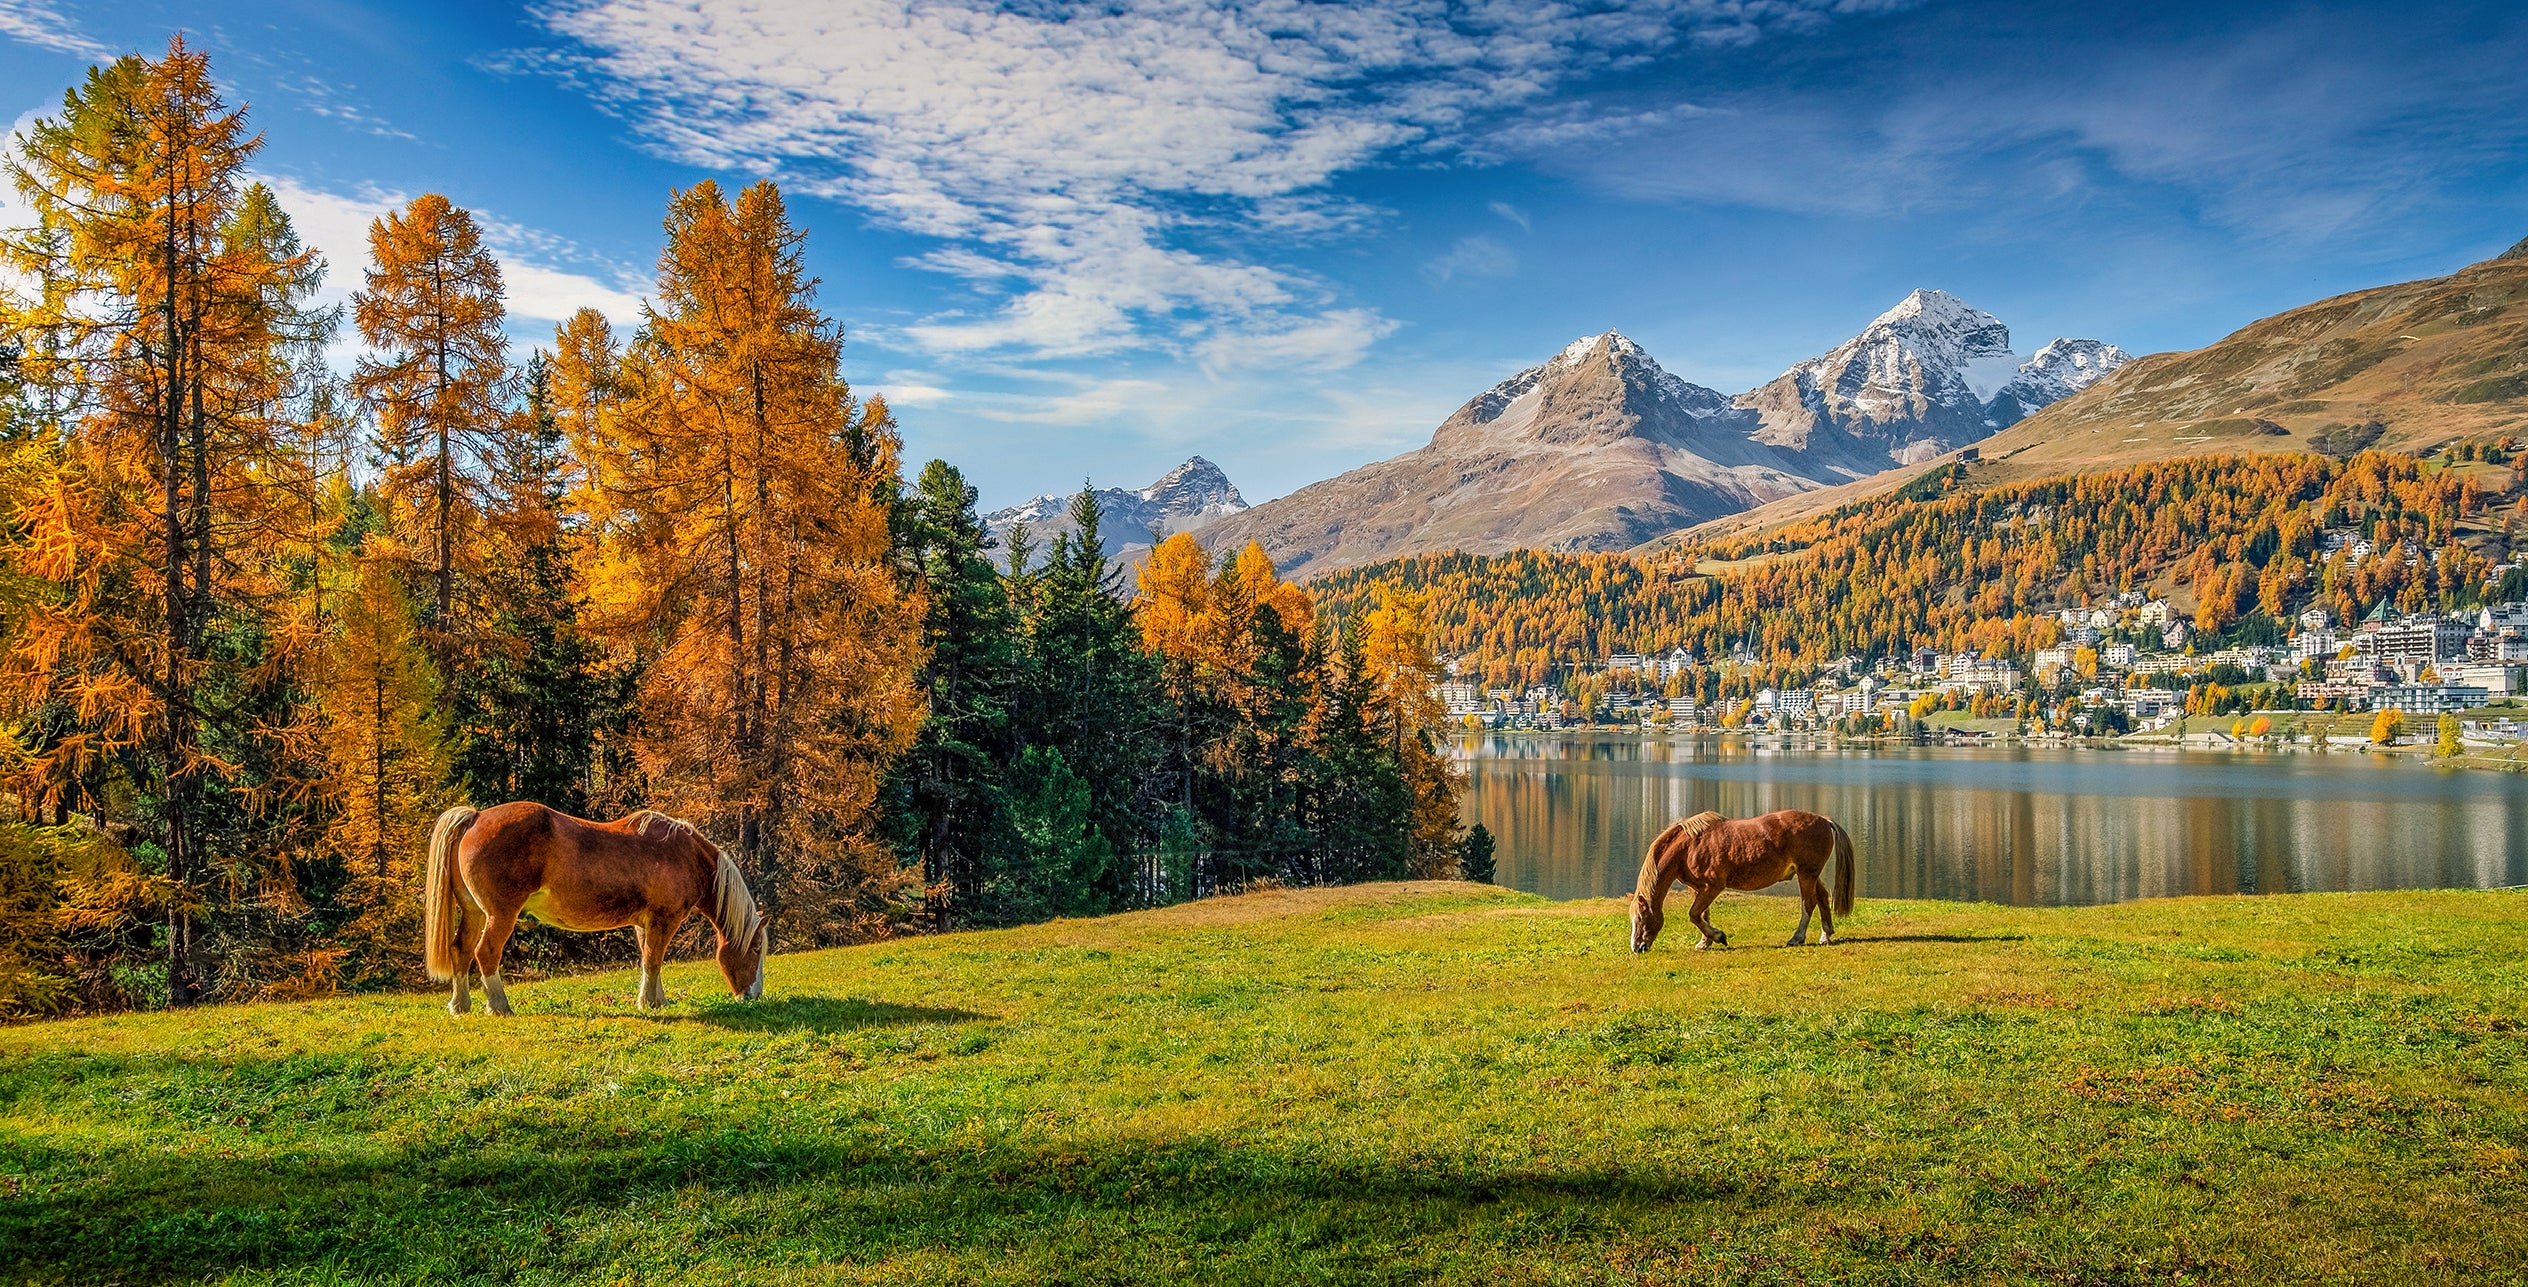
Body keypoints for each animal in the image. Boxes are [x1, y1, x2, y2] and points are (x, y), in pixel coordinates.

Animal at [424, 803, 767, 1015]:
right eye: (755, 950)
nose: (754, 996)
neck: (686, 854)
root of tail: (476, 817)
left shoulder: (644, 922)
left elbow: (649, 960)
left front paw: (657, 1000)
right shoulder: (664, 919)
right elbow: (654, 959)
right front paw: (648, 1003)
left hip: (473, 912)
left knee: (461, 949)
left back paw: (460, 1005)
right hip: (500, 915)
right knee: (486, 953)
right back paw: (499, 1006)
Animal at [1628, 810, 1855, 953]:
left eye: (1639, 918)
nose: (1637, 947)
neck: (1690, 846)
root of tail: (1824, 820)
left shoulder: (1712, 887)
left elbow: (1694, 914)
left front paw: (1718, 937)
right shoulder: (1698, 888)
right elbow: (1702, 915)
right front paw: (1705, 942)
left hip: (1806, 874)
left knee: (1808, 903)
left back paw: (1797, 938)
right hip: (1809, 874)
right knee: (1822, 897)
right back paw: (1826, 935)